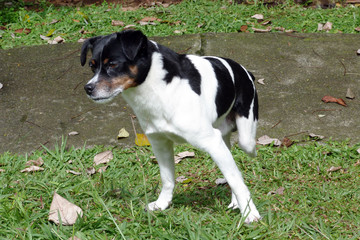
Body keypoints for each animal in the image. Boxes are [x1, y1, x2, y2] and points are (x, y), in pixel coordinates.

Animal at [81, 29, 262, 223]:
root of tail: (244, 71)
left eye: (113, 64)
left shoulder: (212, 142)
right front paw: (162, 204)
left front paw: (250, 213)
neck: (159, 89)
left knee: (240, 161)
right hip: (222, 136)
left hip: (246, 141)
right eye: (92, 66)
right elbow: (167, 178)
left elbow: (235, 179)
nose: (88, 88)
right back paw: (235, 201)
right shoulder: (160, 143)